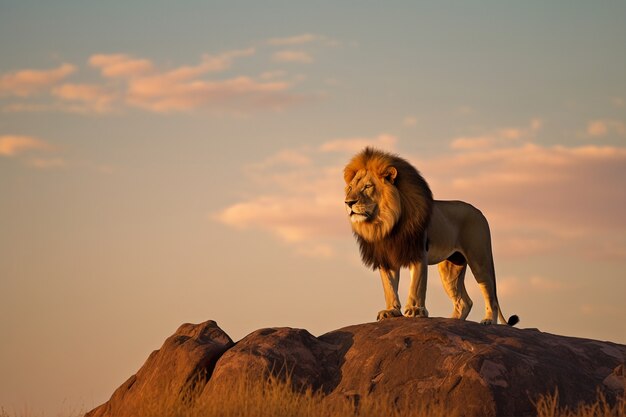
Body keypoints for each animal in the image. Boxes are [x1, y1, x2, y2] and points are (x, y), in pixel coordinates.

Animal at [342, 146, 516, 324]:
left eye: (367, 186)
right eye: (350, 188)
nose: (348, 202)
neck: (385, 222)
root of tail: (479, 212)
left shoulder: (418, 250)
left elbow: (417, 284)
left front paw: (415, 310)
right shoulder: (386, 257)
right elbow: (389, 287)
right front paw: (391, 311)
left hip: (479, 259)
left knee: (490, 295)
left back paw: (488, 321)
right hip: (450, 269)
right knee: (465, 302)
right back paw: (452, 321)